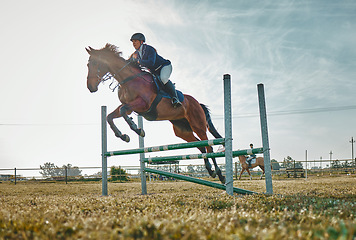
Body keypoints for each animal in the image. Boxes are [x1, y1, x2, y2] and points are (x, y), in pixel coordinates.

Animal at [85, 43, 225, 183]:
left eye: (95, 63)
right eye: (88, 65)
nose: (90, 87)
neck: (128, 79)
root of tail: (198, 103)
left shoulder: (143, 104)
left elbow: (122, 110)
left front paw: (137, 129)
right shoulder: (131, 107)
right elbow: (110, 116)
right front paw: (123, 136)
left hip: (198, 125)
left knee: (209, 146)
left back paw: (220, 175)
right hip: (182, 131)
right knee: (201, 146)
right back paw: (210, 170)